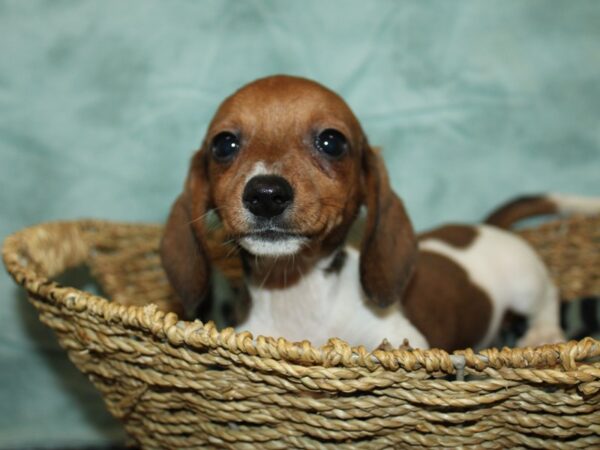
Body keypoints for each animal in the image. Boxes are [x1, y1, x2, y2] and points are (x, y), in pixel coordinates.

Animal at [158, 74, 596, 352]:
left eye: (332, 141)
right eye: (223, 144)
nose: (266, 194)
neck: (296, 294)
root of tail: (483, 226)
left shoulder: (406, 341)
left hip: (526, 283)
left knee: (548, 299)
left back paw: (543, 335)